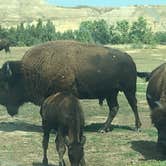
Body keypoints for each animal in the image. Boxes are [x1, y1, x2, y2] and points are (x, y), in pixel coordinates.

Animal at [0, 40, 141, 132]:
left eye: (5, 84)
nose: (2, 101)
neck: (27, 72)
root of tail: (129, 58)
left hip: (129, 90)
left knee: (133, 105)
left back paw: (137, 127)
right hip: (111, 93)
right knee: (114, 108)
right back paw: (103, 129)